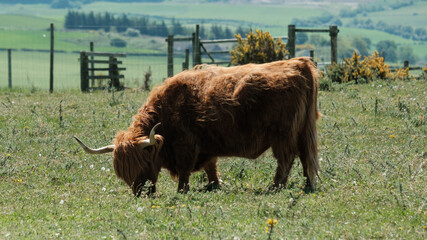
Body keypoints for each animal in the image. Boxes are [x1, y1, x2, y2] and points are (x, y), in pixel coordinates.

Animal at [75, 57, 320, 196]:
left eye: (143, 162)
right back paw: (308, 185)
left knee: (286, 159)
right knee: (306, 157)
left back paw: (275, 187)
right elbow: (211, 168)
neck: (166, 112)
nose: (140, 193)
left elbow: (185, 171)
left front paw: (182, 191)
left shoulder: (186, 146)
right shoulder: (205, 147)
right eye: (123, 173)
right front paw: (215, 185)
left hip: (283, 135)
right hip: (303, 130)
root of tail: (298, 63)